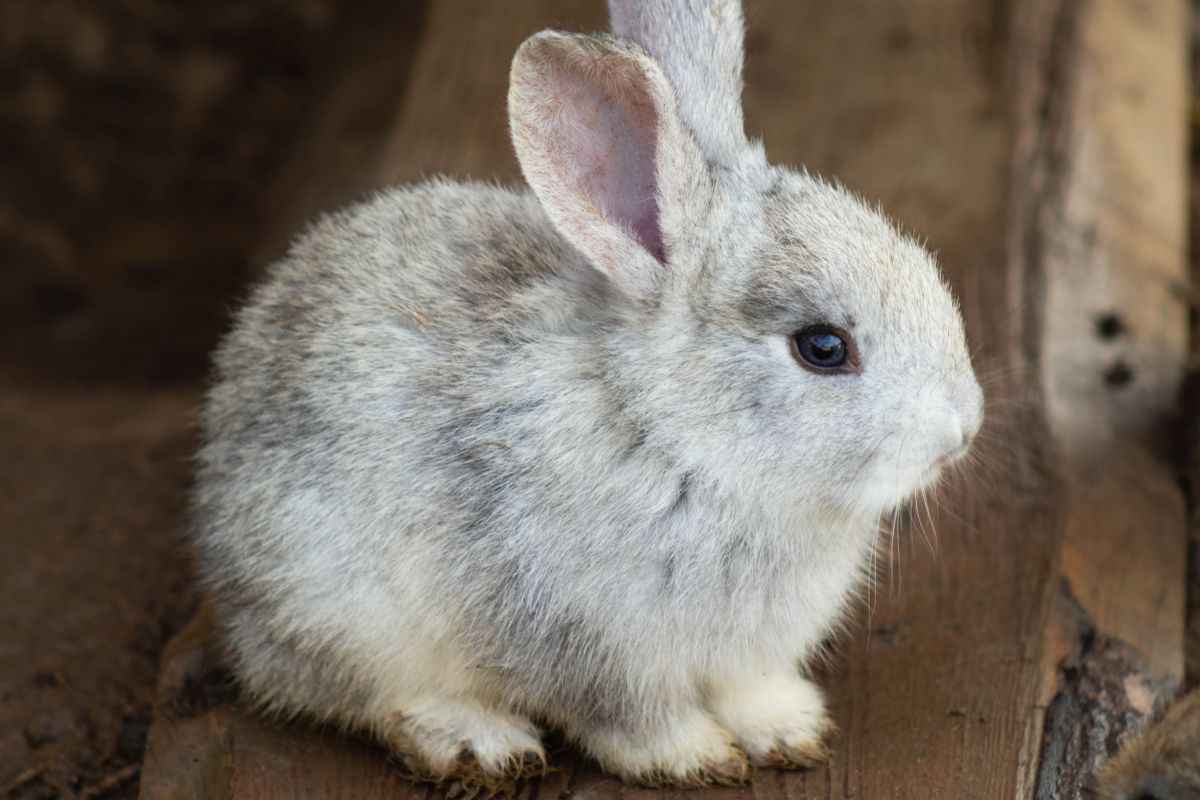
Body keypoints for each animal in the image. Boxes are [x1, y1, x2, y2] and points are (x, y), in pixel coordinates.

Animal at [192, 0, 984, 787]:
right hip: (339, 606)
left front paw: (790, 730)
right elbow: (631, 721)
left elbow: (749, 691)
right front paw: (696, 757)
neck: (676, 437)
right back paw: (479, 742)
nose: (962, 430)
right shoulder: (592, 646)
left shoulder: (745, 656)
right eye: (822, 348)